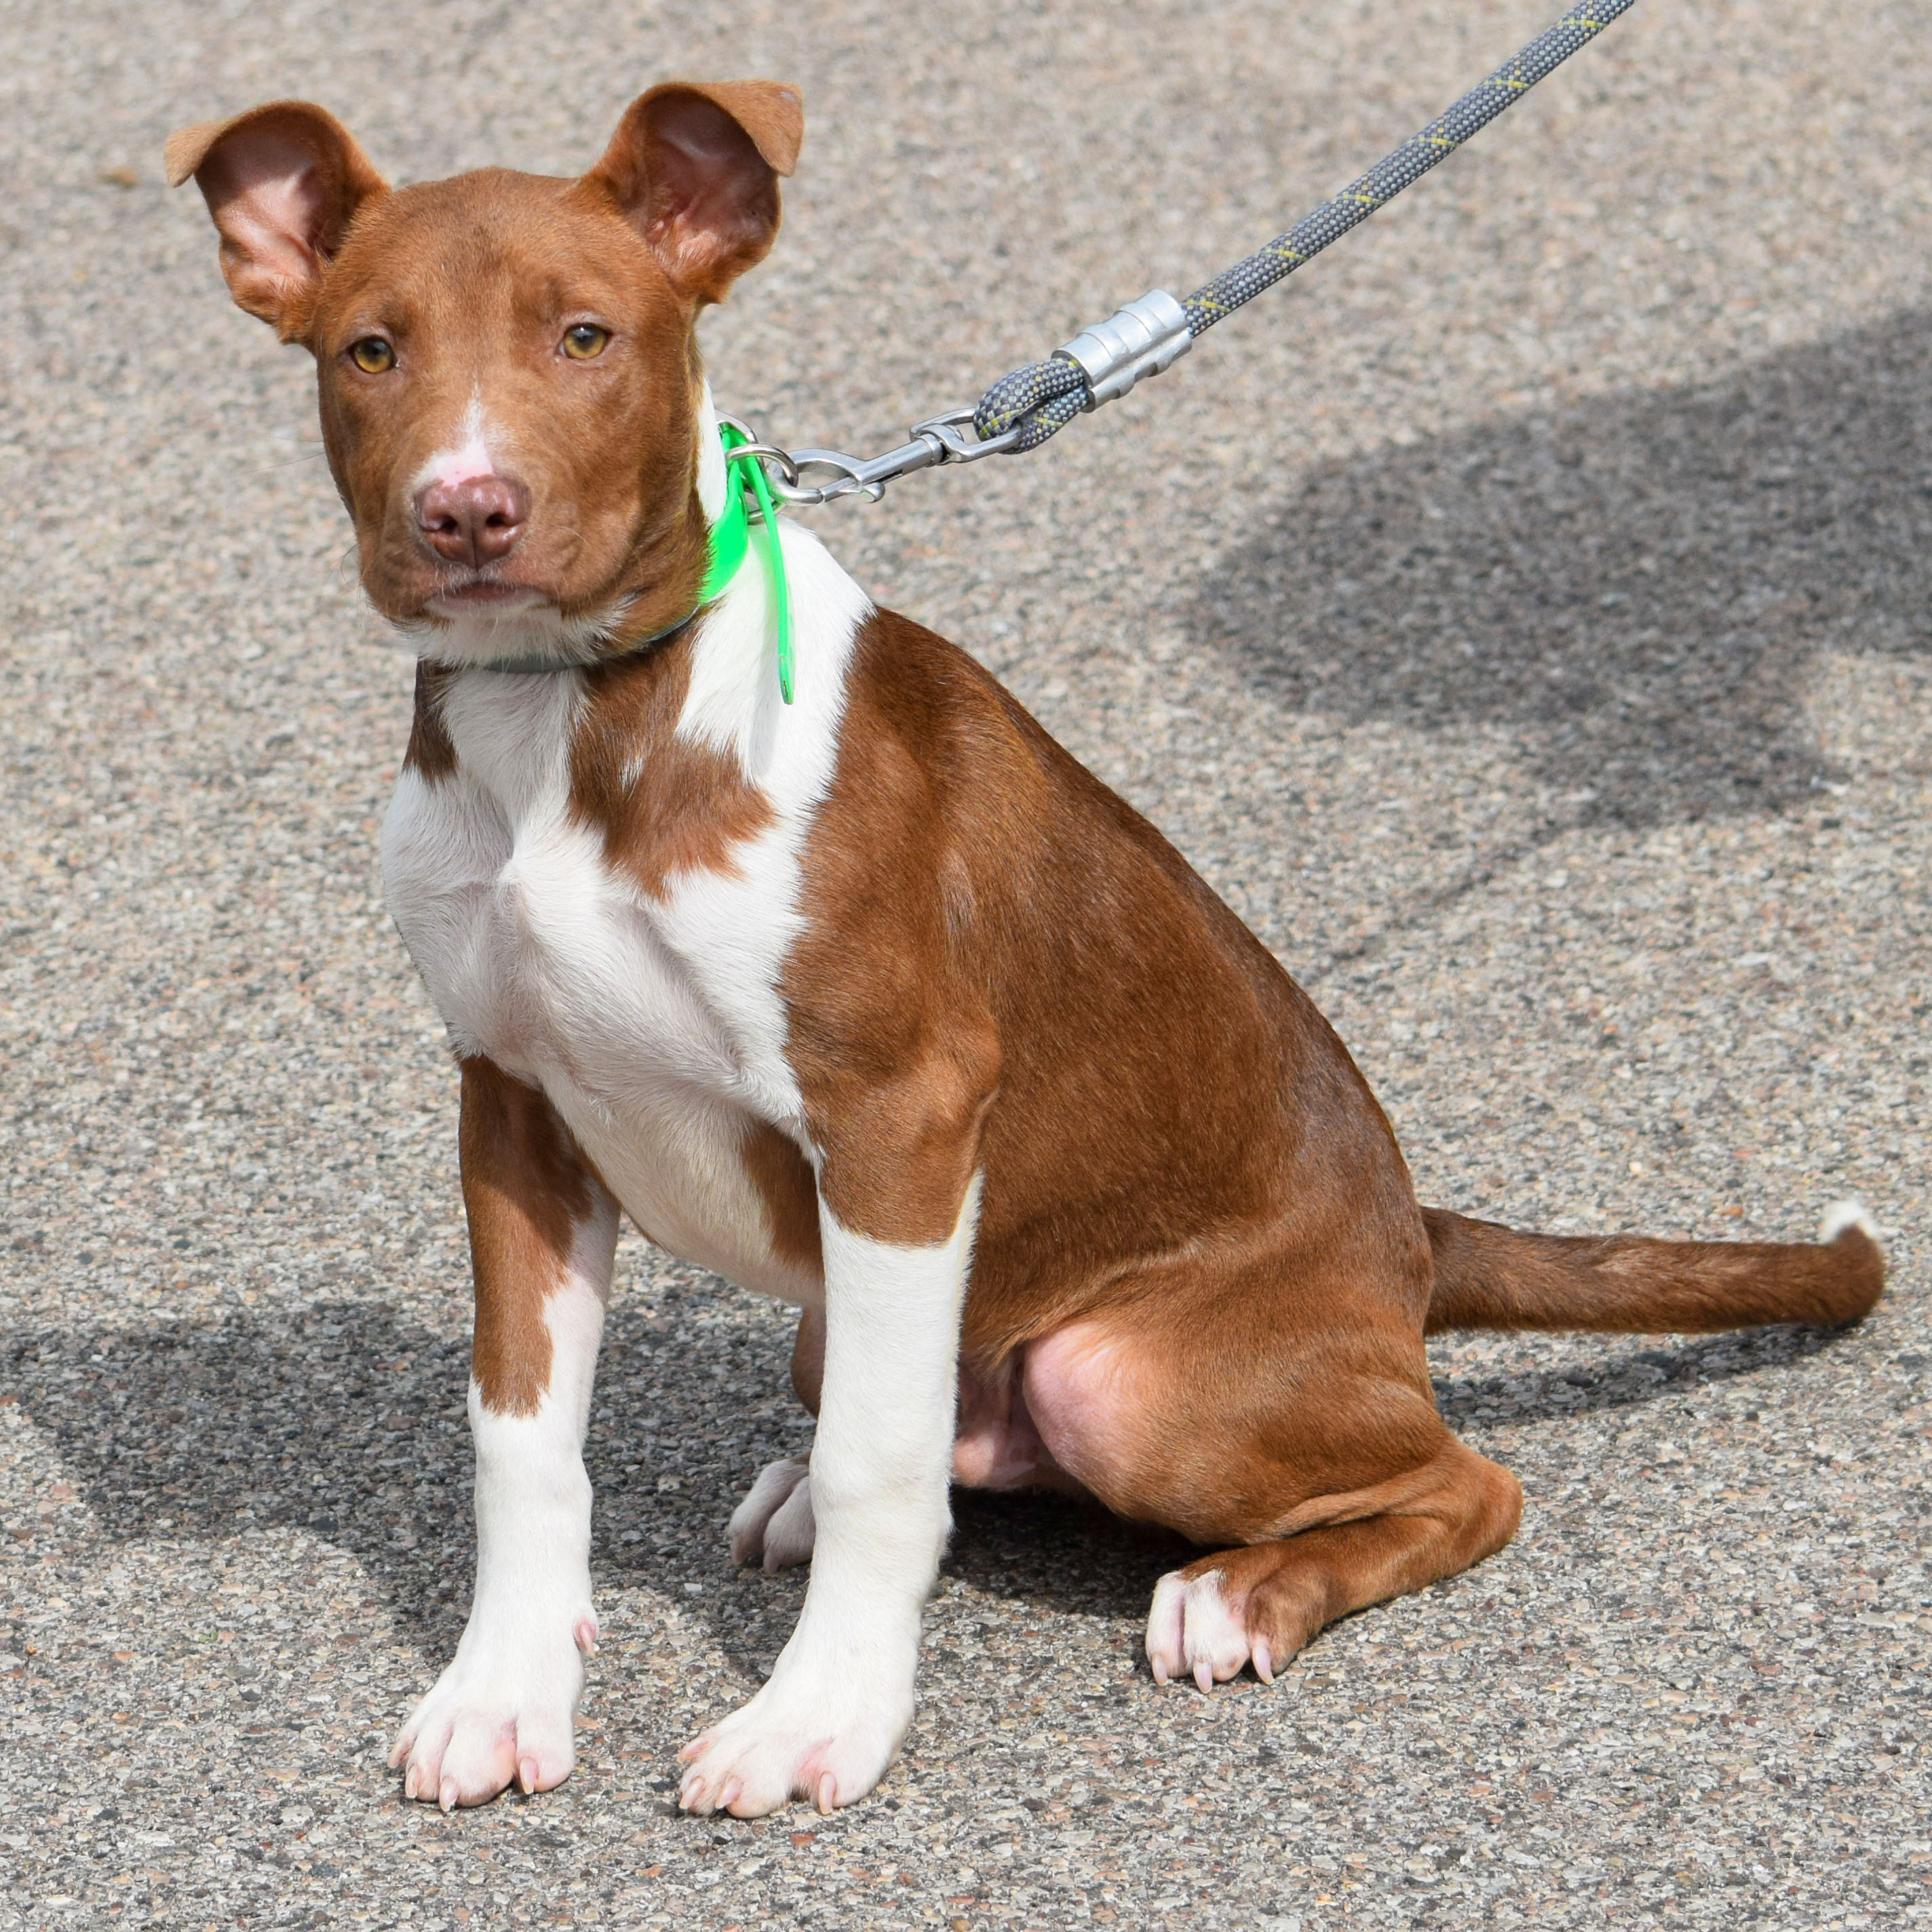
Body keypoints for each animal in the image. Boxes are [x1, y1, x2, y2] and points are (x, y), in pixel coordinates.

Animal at [170, 83, 1885, 1816]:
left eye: (587, 334)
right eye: (366, 351)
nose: (466, 509)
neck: (573, 717)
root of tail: (1409, 1240)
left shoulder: (898, 1113)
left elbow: (878, 1461)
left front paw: (817, 1714)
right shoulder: (513, 1106)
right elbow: (521, 1435)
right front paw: (502, 1691)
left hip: (1123, 1372)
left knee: (1460, 1481)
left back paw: (1236, 1592)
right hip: (852, 1314)